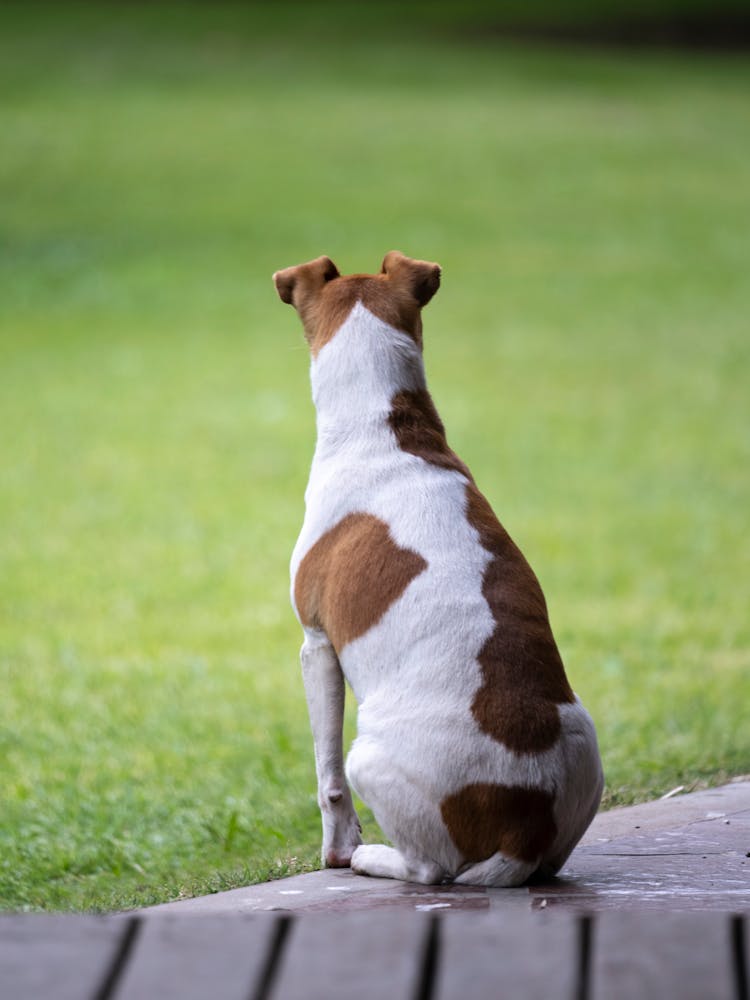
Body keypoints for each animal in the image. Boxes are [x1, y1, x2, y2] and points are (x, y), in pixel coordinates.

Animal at [274, 250, 604, 884]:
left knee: (428, 869)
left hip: (369, 758)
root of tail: (524, 830)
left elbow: (326, 777)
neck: (386, 432)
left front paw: (337, 848)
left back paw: (372, 857)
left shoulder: (316, 645)